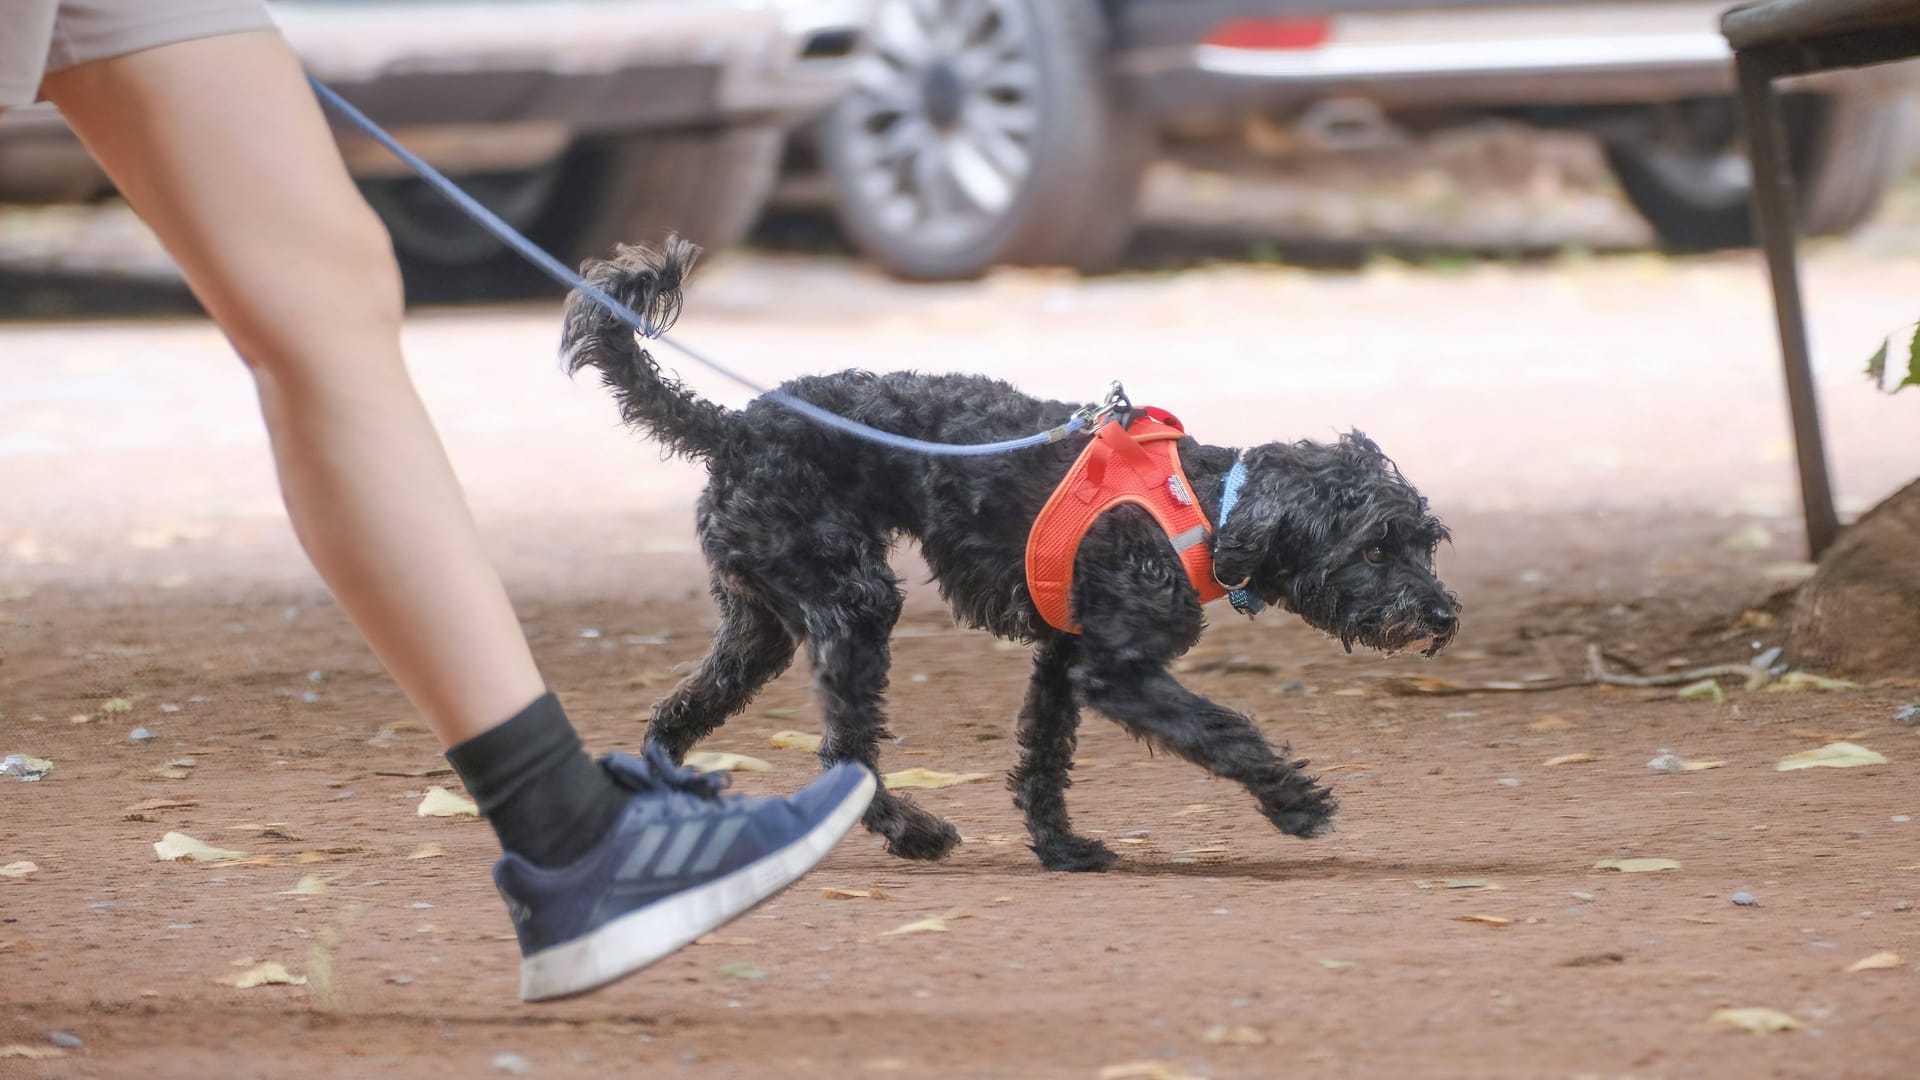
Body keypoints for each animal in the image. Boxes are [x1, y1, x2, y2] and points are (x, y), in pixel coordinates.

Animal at [560, 239, 1459, 868]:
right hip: (854, 605)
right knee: (843, 751)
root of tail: (730, 428)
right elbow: (1224, 728)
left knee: (677, 715)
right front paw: (1295, 802)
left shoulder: (1062, 659)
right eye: (1374, 549)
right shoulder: (1116, 668)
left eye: (1425, 542)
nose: (1445, 616)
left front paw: (1062, 848)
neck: (1205, 502)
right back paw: (913, 831)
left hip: (759, 627)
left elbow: (1042, 761)